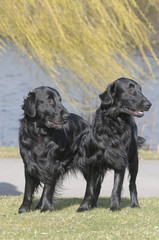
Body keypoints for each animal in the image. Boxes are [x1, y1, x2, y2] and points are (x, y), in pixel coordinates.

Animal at [18, 86, 89, 214]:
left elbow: (48, 188)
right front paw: (24, 209)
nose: (67, 116)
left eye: (60, 100)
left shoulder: (53, 165)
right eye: (49, 100)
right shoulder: (29, 165)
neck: (40, 135)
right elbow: (28, 191)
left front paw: (46, 208)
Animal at [75, 78, 151, 211]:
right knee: (97, 187)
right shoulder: (93, 162)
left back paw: (135, 204)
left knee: (132, 184)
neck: (114, 123)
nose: (149, 104)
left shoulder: (120, 160)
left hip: (134, 161)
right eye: (130, 89)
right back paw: (93, 204)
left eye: (140, 89)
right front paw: (84, 206)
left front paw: (115, 206)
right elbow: (89, 189)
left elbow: (116, 188)